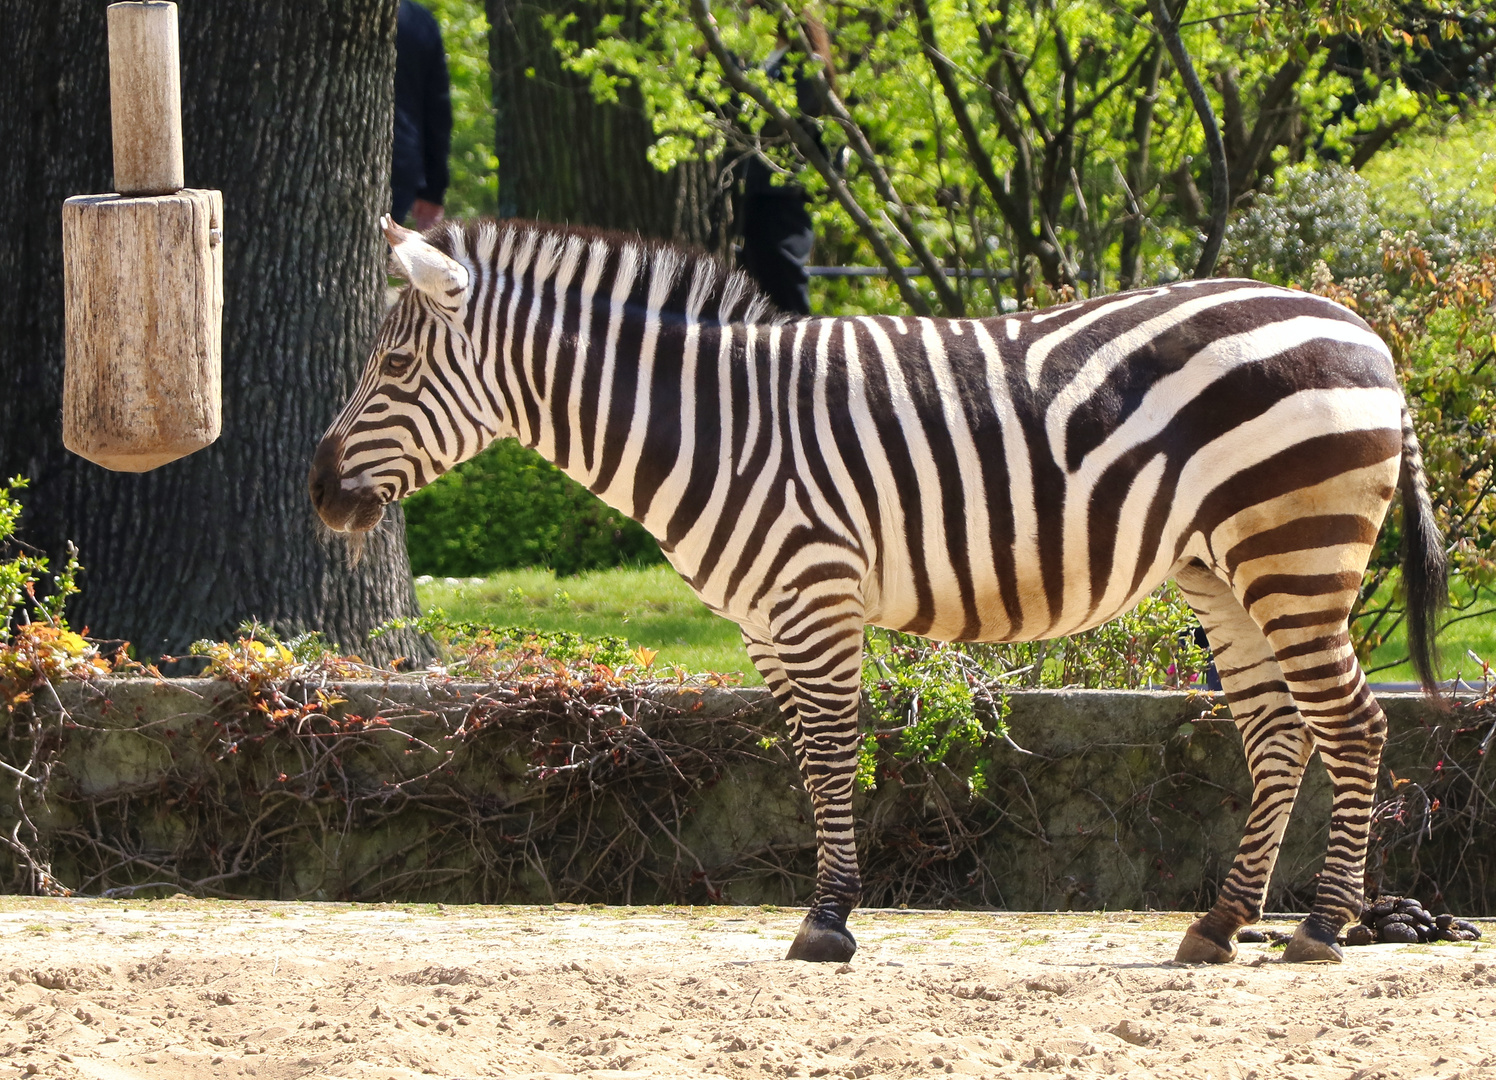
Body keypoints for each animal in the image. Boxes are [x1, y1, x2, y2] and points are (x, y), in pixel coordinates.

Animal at [312, 213, 1448, 963]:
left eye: (395, 367)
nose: (319, 492)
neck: (712, 422)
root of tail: (1367, 334)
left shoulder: (813, 588)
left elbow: (826, 751)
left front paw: (827, 921)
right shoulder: (766, 618)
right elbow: (806, 763)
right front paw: (827, 909)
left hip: (1294, 551)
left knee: (1352, 725)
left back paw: (1319, 928)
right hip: (1223, 570)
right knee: (1278, 733)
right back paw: (1220, 923)